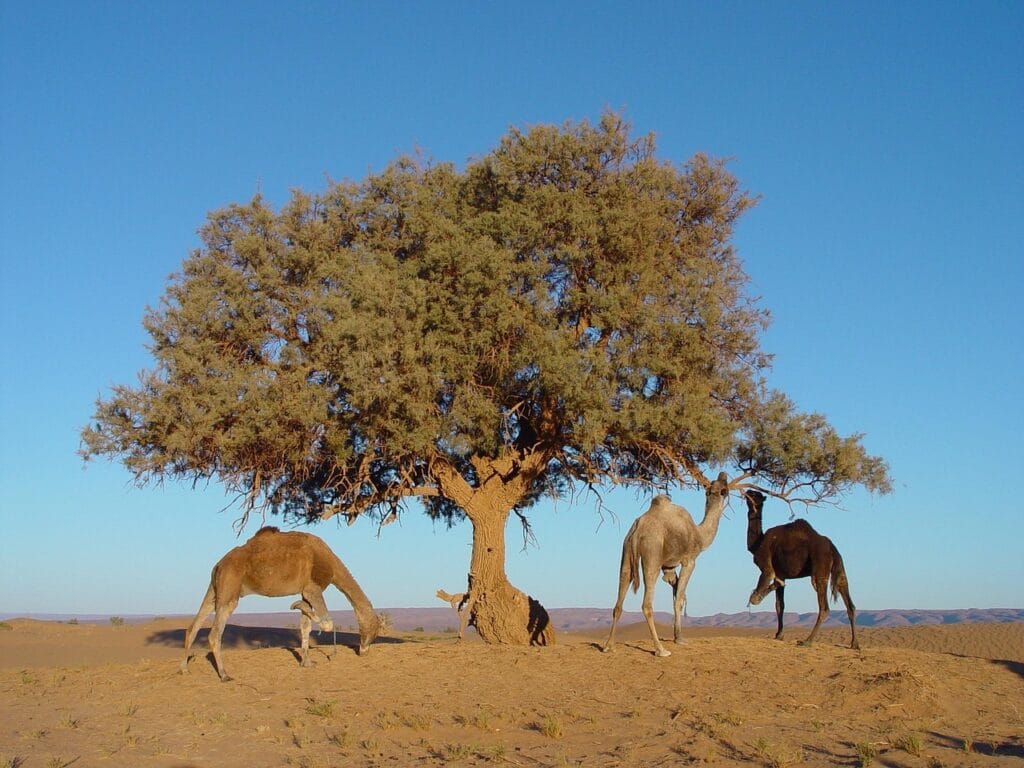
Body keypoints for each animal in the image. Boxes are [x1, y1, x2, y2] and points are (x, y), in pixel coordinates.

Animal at [180, 526, 380, 681]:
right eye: (373, 631)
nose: (364, 651)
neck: (331, 564)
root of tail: (218, 565)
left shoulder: (305, 590)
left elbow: (305, 626)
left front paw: (307, 662)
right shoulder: (313, 588)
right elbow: (327, 623)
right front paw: (296, 605)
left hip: (215, 590)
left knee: (193, 626)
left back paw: (184, 668)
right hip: (230, 587)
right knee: (214, 633)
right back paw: (224, 675)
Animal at [602, 472, 731, 657]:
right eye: (724, 489)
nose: (723, 475)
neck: (699, 535)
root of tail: (638, 529)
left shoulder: (668, 567)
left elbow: (676, 594)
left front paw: (678, 636)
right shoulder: (689, 561)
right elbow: (679, 599)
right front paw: (680, 639)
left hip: (626, 552)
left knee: (619, 600)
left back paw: (608, 646)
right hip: (652, 553)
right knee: (647, 604)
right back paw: (661, 650)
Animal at [745, 489, 859, 649]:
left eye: (754, 495)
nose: (747, 492)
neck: (757, 544)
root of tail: (832, 549)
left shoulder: (767, 566)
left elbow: (768, 581)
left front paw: (755, 598)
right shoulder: (781, 573)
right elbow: (780, 605)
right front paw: (779, 635)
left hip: (819, 568)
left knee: (824, 607)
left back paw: (807, 641)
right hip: (840, 568)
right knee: (849, 602)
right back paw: (854, 643)